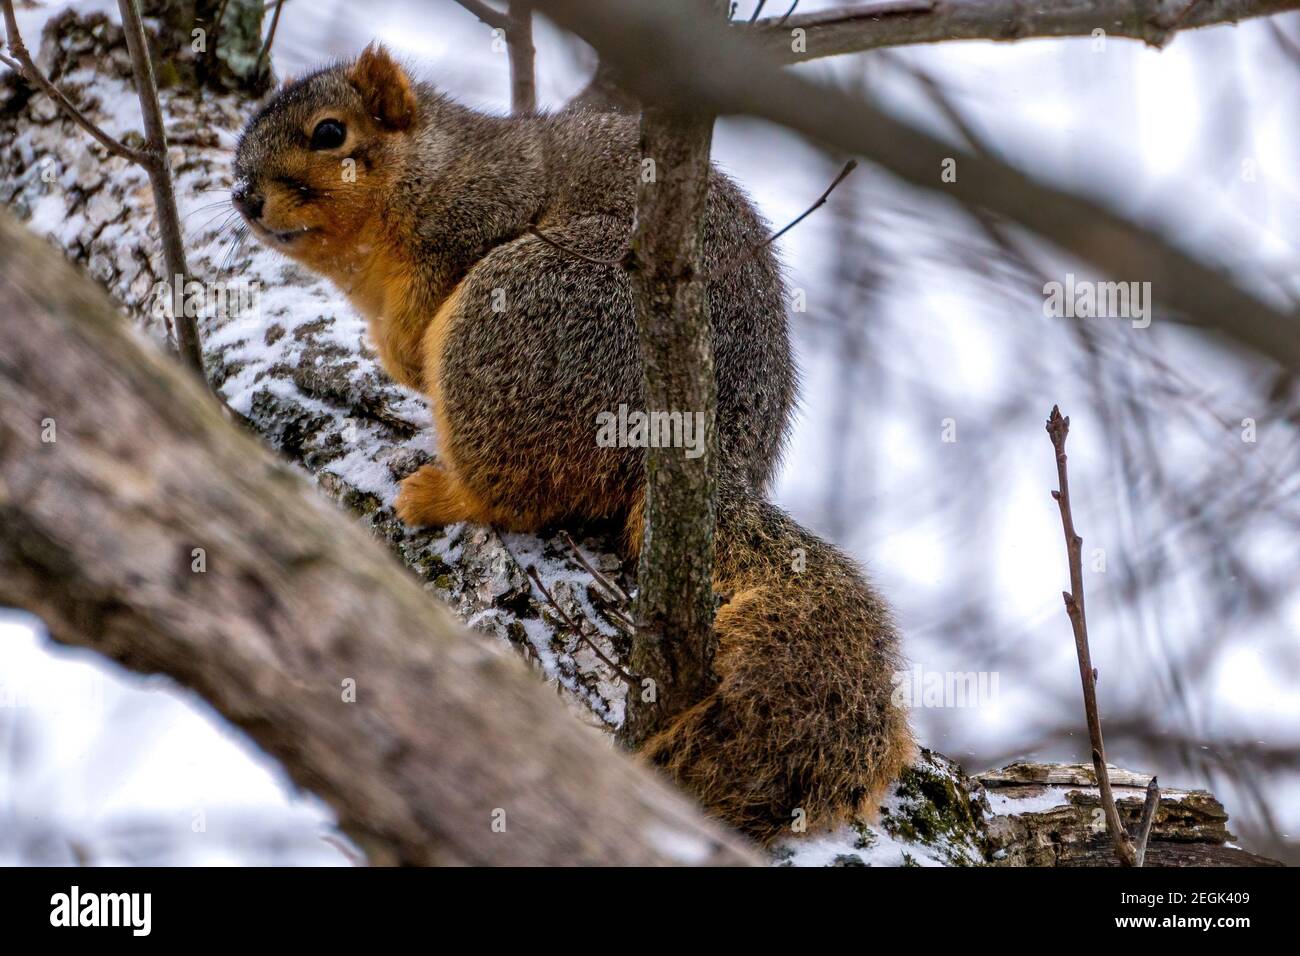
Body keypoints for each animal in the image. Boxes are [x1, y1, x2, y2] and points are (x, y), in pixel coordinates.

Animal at [232, 45, 913, 843]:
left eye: (329, 133)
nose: (244, 196)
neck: (428, 170)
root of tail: (717, 452)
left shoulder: (479, 215)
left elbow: (426, 301)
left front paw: (402, 354)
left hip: (528, 312)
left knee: (519, 492)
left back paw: (444, 493)